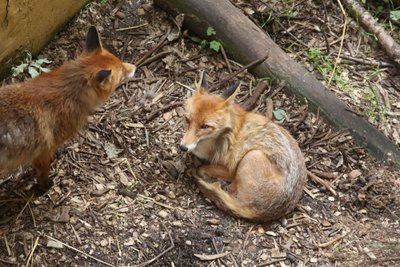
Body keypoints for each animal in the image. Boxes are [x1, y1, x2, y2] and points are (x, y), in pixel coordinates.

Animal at [0, 25, 136, 193]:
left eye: (120, 62)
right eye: (122, 72)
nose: (135, 67)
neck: (66, 90)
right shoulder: (44, 151)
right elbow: (43, 171)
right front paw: (45, 187)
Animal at [180, 73, 308, 222]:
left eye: (205, 126)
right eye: (187, 120)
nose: (183, 147)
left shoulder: (230, 168)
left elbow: (204, 168)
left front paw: (199, 167)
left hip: (251, 156)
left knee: (231, 192)